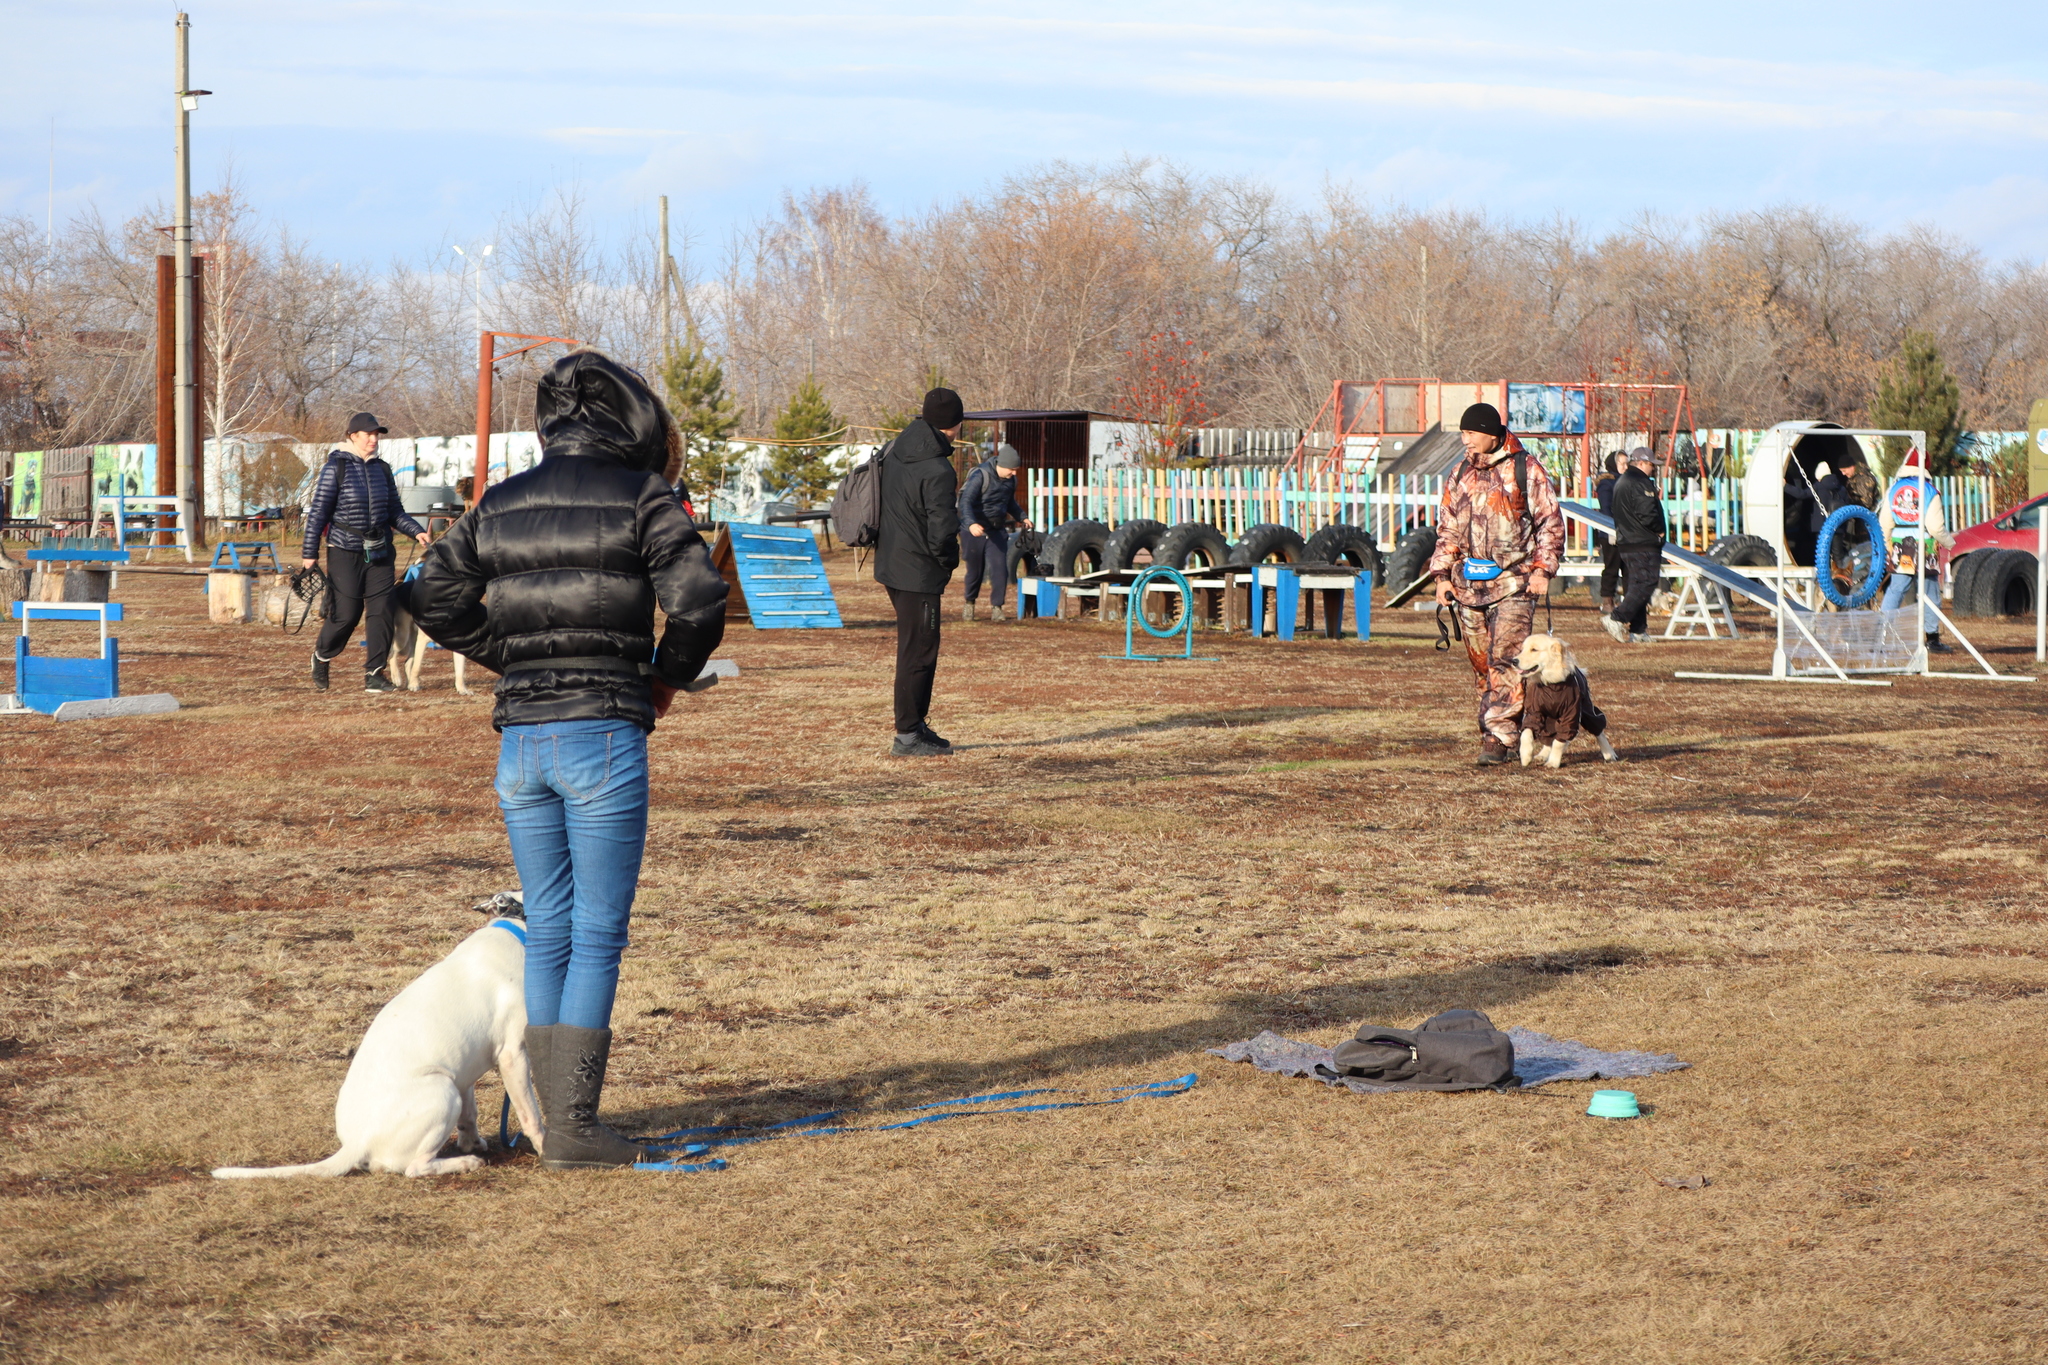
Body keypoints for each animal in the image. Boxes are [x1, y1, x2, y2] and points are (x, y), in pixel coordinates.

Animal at [214, 912, 544, 1178]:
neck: (519, 933)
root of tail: (357, 1143)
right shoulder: (514, 1055)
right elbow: (531, 1115)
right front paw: (543, 1147)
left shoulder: (465, 1074)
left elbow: (469, 1115)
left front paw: (471, 1143)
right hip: (442, 1090)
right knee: (414, 1168)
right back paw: (464, 1164)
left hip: (449, 1084)